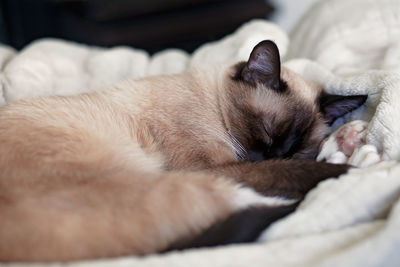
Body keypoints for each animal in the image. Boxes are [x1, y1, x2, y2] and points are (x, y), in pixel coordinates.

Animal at [0, 40, 368, 262]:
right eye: (265, 132)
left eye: (297, 150)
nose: (271, 155)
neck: (213, 103)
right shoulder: (216, 168)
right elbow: (294, 177)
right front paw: (354, 165)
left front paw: (348, 139)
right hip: (195, 185)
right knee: (283, 205)